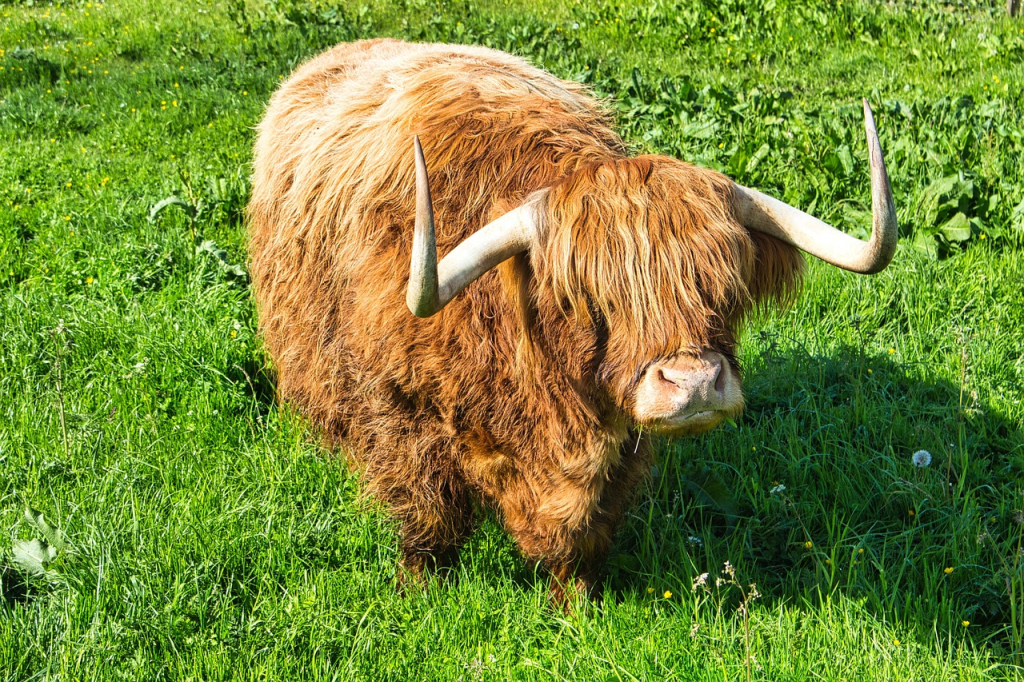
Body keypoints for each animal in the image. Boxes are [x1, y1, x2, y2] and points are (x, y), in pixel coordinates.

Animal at [247, 39, 897, 606]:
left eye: (723, 287)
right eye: (591, 298)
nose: (692, 386)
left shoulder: (619, 454)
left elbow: (586, 533)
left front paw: (575, 600)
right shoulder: (401, 414)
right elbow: (429, 517)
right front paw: (419, 590)